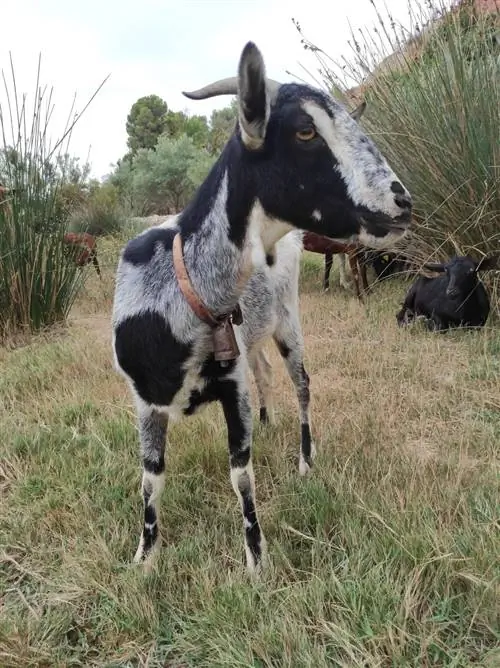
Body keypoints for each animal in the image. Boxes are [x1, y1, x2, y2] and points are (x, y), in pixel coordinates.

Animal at [111, 41, 412, 575]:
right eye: (306, 131)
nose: (403, 202)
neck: (181, 292)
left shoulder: (232, 390)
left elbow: (241, 474)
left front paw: (255, 558)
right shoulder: (144, 400)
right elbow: (150, 477)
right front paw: (144, 556)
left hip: (288, 320)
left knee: (301, 383)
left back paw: (305, 459)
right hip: (250, 338)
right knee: (266, 373)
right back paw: (271, 421)